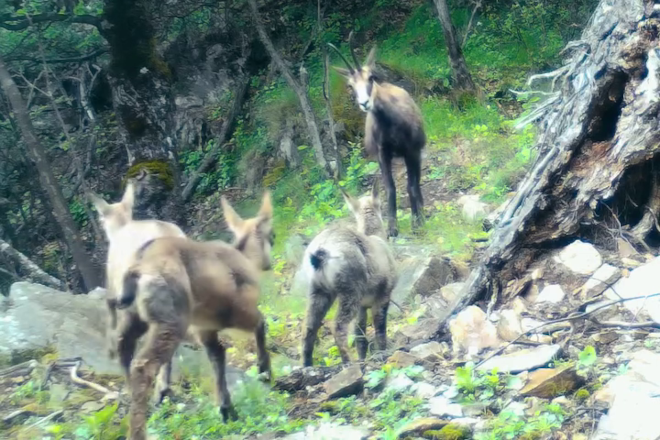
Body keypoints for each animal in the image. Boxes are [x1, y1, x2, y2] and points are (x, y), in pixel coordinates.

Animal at [88, 176, 186, 402]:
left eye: (100, 219)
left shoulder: (113, 289)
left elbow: (110, 317)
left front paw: (108, 351)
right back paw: (162, 388)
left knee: (129, 346)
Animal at [115, 192, 274, 440]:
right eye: (271, 235)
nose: (269, 263)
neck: (245, 257)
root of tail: (137, 268)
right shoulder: (237, 312)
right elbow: (261, 324)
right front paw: (264, 371)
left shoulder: (204, 329)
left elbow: (217, 357)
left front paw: (226, 409)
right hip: (172, 319)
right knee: (143, 365)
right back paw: (139, 430)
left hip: (134, 317)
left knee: (124, 349)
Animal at [301, 181, 397, 366]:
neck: (375, 237)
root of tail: (319, 253)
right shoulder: (383, 295)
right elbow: (380, 327)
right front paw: (382, 352)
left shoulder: (362, 305)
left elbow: (360, 336)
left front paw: (363, 357)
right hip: (350, 290)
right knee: (337, 326)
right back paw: (348, 361)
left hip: (318, 291)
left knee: (308, 328)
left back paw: (307, 365)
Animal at [328, 32, 426, 238]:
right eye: (350, 85)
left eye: (371, 77)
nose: (365, 103)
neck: (391, 124)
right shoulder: (383, 154)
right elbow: (390, 187)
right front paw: (392, 228)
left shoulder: (411, 151)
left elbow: (411, 185)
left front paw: (418, 223)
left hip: (415, 153)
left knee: (416, 181)